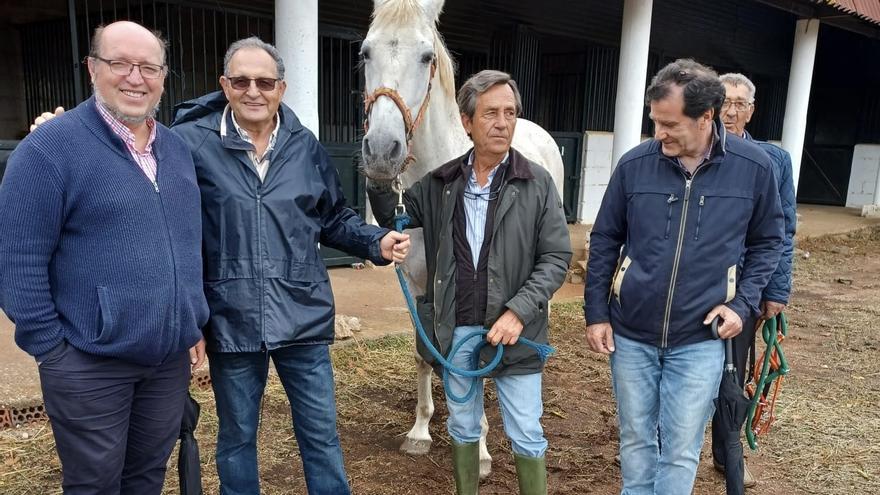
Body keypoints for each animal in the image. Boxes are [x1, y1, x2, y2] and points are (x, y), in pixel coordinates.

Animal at [358, 0, 564, 480]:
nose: (381, 152)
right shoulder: (418, 288)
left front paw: (483, 452)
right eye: (365, 53)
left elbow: (479, 360)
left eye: (425, 57)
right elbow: (422, 352)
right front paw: (420, 432)